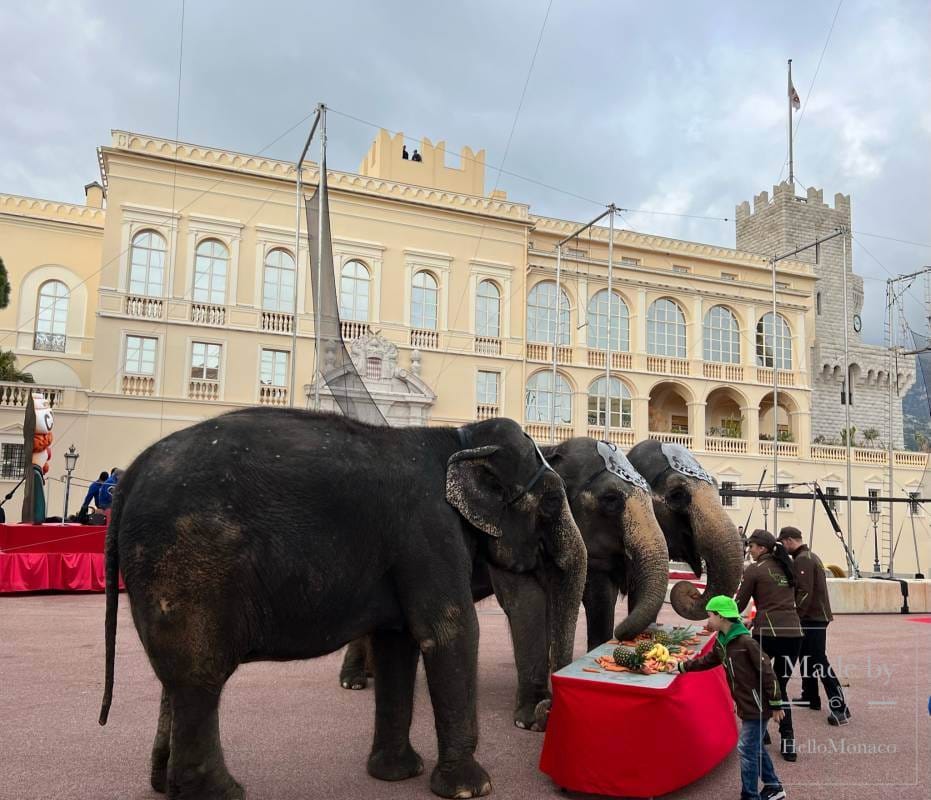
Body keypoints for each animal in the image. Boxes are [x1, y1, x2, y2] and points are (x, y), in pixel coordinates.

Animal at [98, 412, 588, 800]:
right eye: (550, 501)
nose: (543, 717)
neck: (459, 439)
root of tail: (131, 476)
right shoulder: (429, 531)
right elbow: (451, 630)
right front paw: (473, 789)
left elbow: (398, 641)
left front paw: (395, 775)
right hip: (188, 562)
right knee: (199, 676)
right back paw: (223, 795)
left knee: (176, 678)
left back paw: (164, 785)